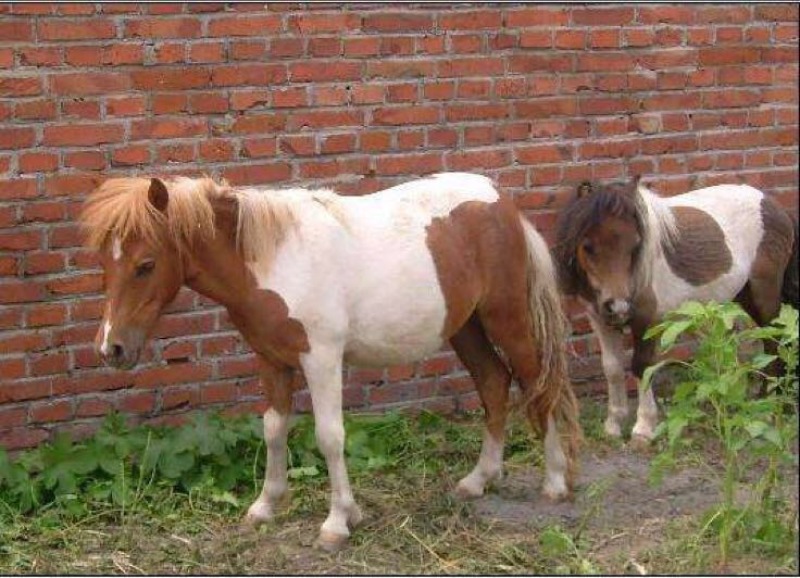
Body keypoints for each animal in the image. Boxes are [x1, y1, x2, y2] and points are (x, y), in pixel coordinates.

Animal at [81, 172, 581, 551]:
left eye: (146, 264)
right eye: (106, 263)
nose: (112, 349)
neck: (274, 259)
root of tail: (501, 202)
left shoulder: (320, 358)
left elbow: (330, 436)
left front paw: (338, 522)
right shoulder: (271, 359)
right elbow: (273, 429)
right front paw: (265, 506)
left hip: (506, 319)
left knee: (538, 385)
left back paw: (555, 483)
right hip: (466, 327)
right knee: (494, 384)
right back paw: (478, 480)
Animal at [554, 178, 798, 443]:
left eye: (635, 245)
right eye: (587, 246)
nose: (619, 306)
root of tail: (773, 205)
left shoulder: (646, 320)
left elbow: (642, 367)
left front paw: (643, 428)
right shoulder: (599, 319)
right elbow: (612, 369)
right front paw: (613, 425)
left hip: (765, 294)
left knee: (774, 340)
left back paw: (773, 406)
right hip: (747, 296)